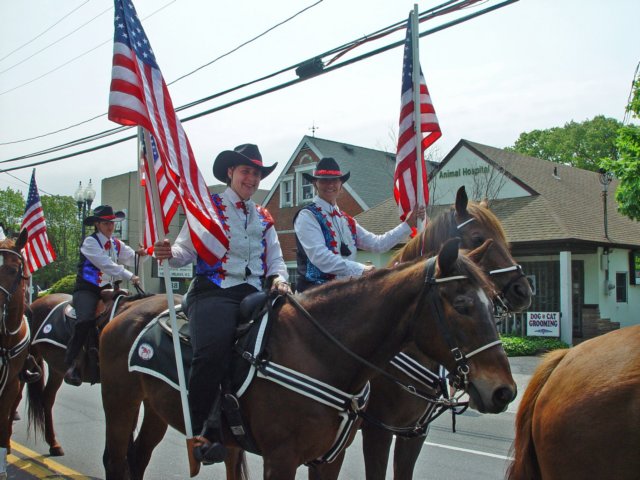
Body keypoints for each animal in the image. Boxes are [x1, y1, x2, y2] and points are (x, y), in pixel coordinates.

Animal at [101, 240, 516, 480]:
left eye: (493, 304)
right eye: (462, 304)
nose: (504, 392)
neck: (320, 351)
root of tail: (128, 311)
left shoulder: (335, 457)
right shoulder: (285, 459)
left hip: (157, 410)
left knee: (137, 459)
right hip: (120, 405)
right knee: (115, 461)